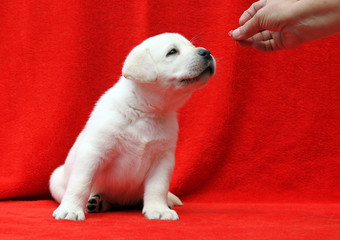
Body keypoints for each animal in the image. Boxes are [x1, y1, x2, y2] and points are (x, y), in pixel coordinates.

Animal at [49, 32, 216, 220]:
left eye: (191, 46)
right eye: (172, 52)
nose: (207, 52)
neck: (146, 112)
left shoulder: (163, 158)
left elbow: (158, 187)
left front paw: (159, 209)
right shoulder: (94, 151)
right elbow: (80, 182)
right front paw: (70, 209)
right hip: (56, 178)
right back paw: (94, 201)